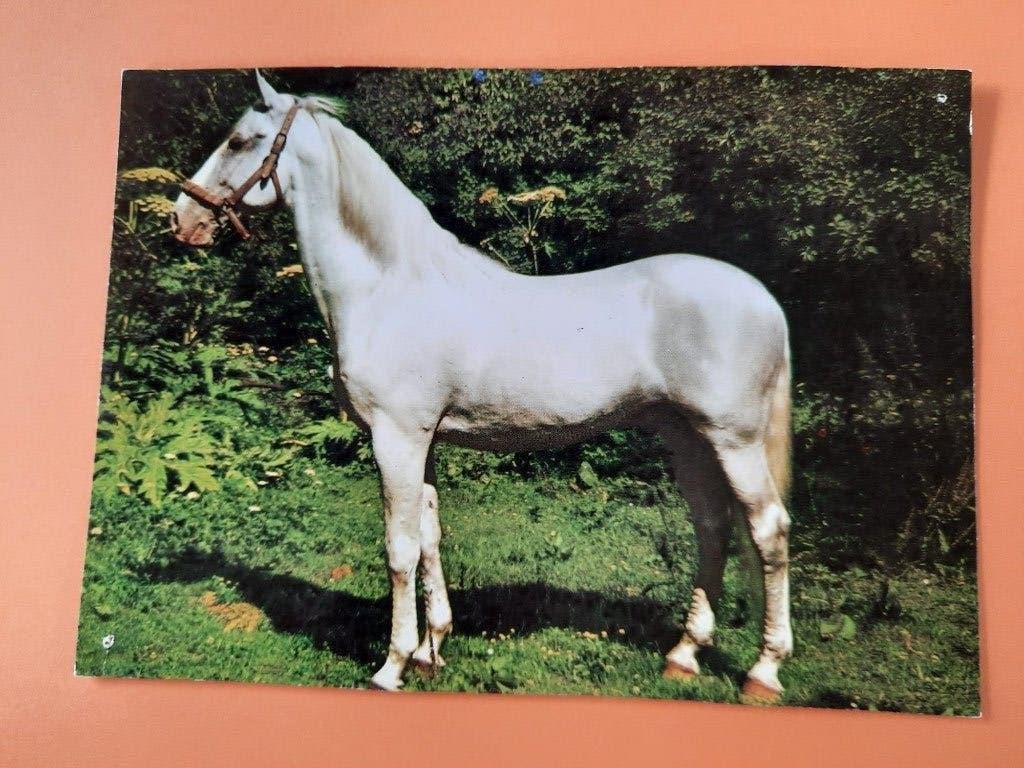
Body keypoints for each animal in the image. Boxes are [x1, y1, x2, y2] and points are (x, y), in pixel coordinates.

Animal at [171, 71, 794, 702]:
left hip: (733, 440)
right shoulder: (422, 442)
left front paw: (393, 665)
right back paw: (684, 655)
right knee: (713, 527)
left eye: (240, 141)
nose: (182, 220)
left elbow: (399, 549)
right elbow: (428, 535)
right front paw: (431, 651)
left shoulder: (396, 439)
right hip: (687, 438)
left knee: (768, 531)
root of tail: (764, 300)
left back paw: (763, 671)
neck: (388, 287)